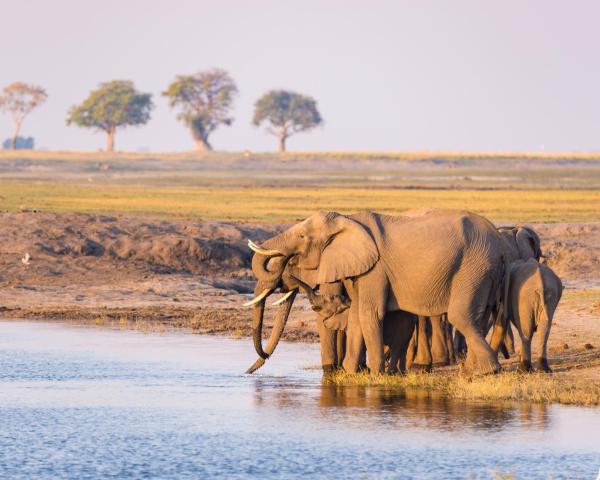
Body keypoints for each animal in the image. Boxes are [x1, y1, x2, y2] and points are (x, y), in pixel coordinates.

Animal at [244, 208, 506, 376]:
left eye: (301, 236)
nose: (248, 371)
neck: (348, 219)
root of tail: (499, 240)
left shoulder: (376, 269)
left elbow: (369, 313)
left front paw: (374, 374)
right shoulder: (359, 268)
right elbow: (356, 314)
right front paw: (350, 372)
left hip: (474, 264)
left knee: (460, 316)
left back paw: (486, 371)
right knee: (477, 316)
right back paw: (473, 369)